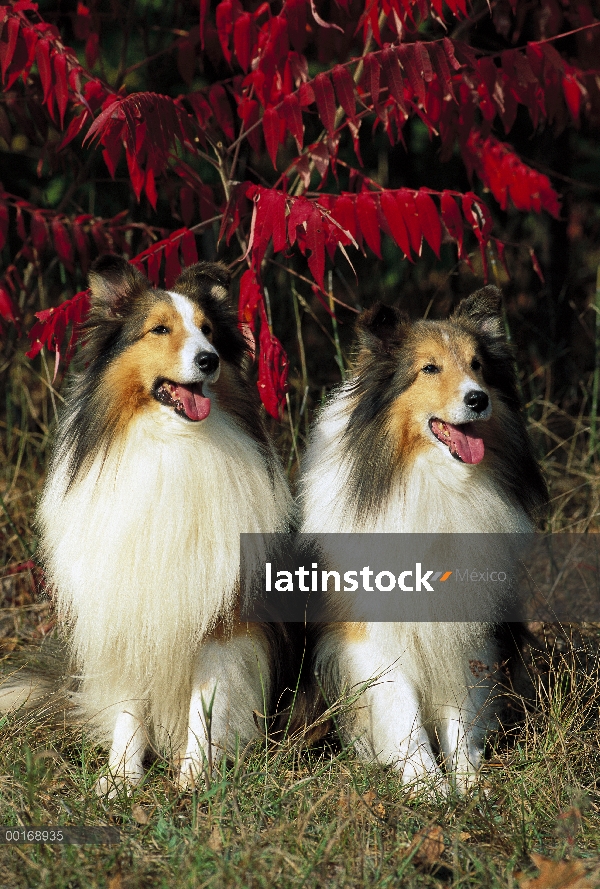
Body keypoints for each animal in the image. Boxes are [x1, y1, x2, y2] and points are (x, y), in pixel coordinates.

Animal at [2, 253, 292, 796]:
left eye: (208, 332)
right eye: (160, 329)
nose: (209, 361)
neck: (172, 444)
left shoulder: (220, 618)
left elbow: (207, 703)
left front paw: (195, 777)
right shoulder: (131, 605)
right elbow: (130, 708)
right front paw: (121, 777)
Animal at [300, 284, 548, 792]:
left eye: (477, 365)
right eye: (429, 368)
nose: (478, 399)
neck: (436, 481)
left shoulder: (466, 626)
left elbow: (462, 713)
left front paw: (468, 783)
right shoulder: (374, 636)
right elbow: (403, 714)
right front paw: (427, 787)